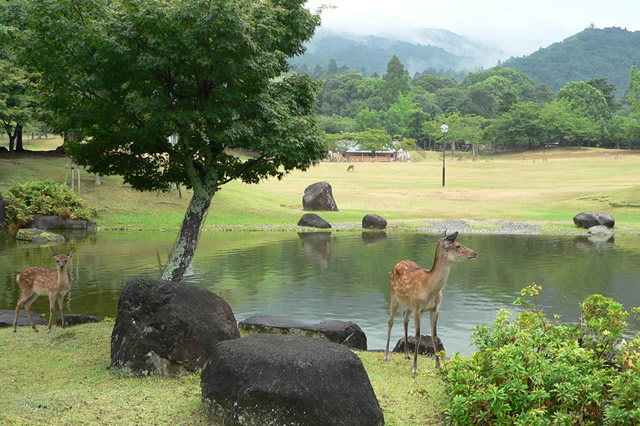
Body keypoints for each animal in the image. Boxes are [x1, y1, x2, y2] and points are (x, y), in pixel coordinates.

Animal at [384, 231, 476, 374]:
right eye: (457, 245)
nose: (474, 253)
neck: (429, 288)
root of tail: (395, 265)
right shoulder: (418, 308)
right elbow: (418, 336)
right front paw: (415, 369)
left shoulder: (435, 308)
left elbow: (435, 335)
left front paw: (438, 365)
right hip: (394, 296)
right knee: (390, 321)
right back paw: (387, 356)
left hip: (408, 304)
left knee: (405, 317)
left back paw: (407, 354)